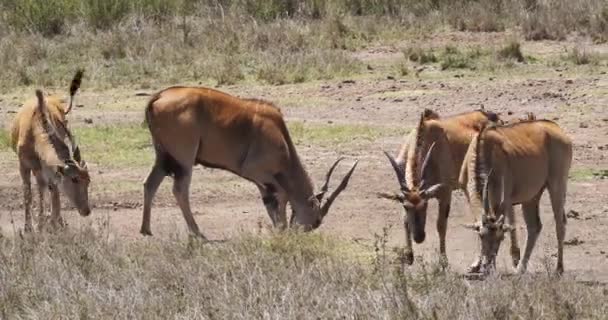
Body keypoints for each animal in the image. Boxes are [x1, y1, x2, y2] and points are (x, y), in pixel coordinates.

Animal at [9, 70, 91, 230]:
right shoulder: (24, 166)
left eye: (88, 181)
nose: (86, 211)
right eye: (74, 179)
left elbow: (51, 193)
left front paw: (50, 224)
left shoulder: (47, 169)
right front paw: (29, 228)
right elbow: (28, 194)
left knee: (48, 190)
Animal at [140, 86, 358, 239]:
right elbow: (282, 195)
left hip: (162, 157)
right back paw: (197, 233)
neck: (280, 135)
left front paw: (279, 228)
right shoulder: (256, 172)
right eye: (317, 219)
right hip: (184, 160)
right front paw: (281, 228)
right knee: (180, 190)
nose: (300, 232)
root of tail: (159, 96)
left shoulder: (260, 180)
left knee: (150, 184)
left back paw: (146, 229)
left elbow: (270, 201)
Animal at [380, 110, 504, 264]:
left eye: (425, 205)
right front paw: (409, 255)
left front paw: (443, 261)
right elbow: (404, 220)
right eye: (406, 207)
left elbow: (441, 225)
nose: (419, 237)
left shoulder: (445, 193)